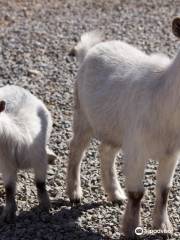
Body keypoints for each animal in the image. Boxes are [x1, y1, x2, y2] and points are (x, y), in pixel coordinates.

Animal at [0, 85, 54, 222]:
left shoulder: (39, 159)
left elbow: (40, 183)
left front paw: (45, 205)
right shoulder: (6, 165)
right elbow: (9, 188)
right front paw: (8, 213)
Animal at [66, 17, 180, 237]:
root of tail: (89, 51)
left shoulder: (171, 153)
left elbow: (164, 190)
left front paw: (163, 227)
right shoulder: (137, 149)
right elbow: (136, 193)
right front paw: (131, 228)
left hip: (114, 129)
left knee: (106, 151)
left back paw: (115, 194)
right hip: (83, 115)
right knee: (76, 149)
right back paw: (74, 193)